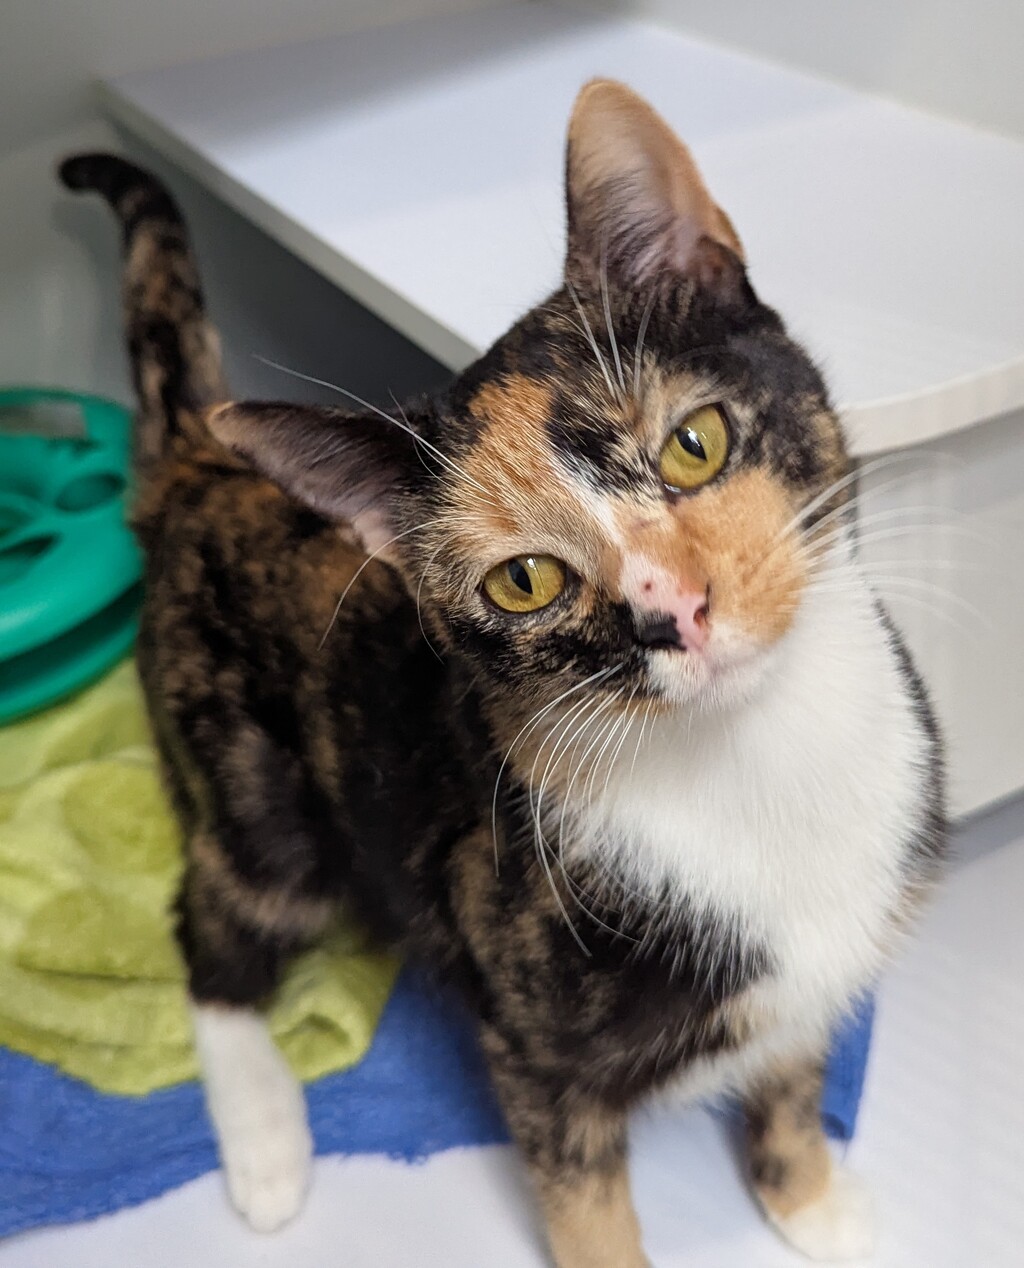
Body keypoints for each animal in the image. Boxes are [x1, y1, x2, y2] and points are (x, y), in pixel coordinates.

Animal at [60, 78, 945, 1267]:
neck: (754, 755)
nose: (672, 611)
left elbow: (790, 1075)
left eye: (696, 442)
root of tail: (202, 464)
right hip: (253, 777)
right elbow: (586, 1207)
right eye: (525, 580)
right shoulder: (535, 1052)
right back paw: (266, 1144)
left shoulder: (809, 982)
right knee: (214, 921)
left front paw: (811, 1200)